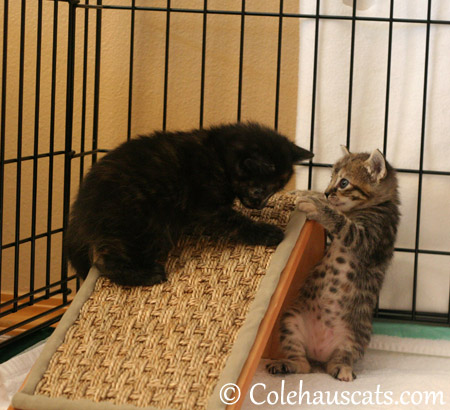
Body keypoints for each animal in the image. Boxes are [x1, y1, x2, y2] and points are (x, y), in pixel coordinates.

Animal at [66, 121, 312, 286]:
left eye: (276, 189)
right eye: (261, 189)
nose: (260, 205)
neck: (218, 155)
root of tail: (78, 216)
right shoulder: (206, 206)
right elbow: (237, 222)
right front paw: (267, 232)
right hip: (140, 225)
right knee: (104, 261)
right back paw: (147, 275)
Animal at [266, 147, 400, 382]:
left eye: (344, 182)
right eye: (330, 179)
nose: (327, 192)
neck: (378, 204)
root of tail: (320, 353)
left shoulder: (369, 238)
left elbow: (342, 223)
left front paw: (317, 205)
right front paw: (304, 193)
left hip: (356, 335)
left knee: (340, 359)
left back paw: (343, 370)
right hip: (291, 320)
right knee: (303, 365)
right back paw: (286, 364)